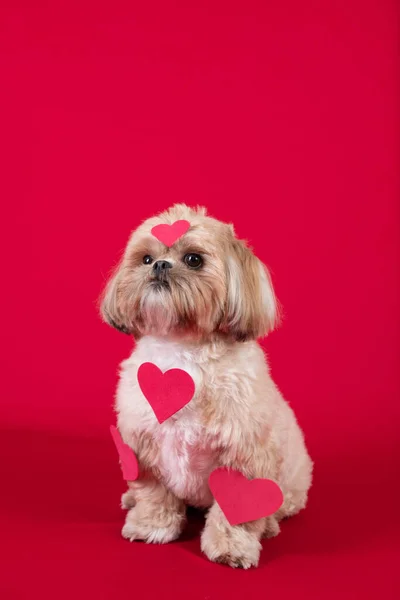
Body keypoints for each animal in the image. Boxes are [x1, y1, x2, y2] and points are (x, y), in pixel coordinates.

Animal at [100, 203, 312, 568]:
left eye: (194, 259)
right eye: (145, 258)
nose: (159, 265)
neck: (184, 351)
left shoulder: (242, 456)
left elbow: (235, 511)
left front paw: (232, 547)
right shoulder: (143, 448)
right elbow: (155, 494)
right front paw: (151, 525)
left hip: (292, 482)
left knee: (280, 505)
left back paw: (270, 525)